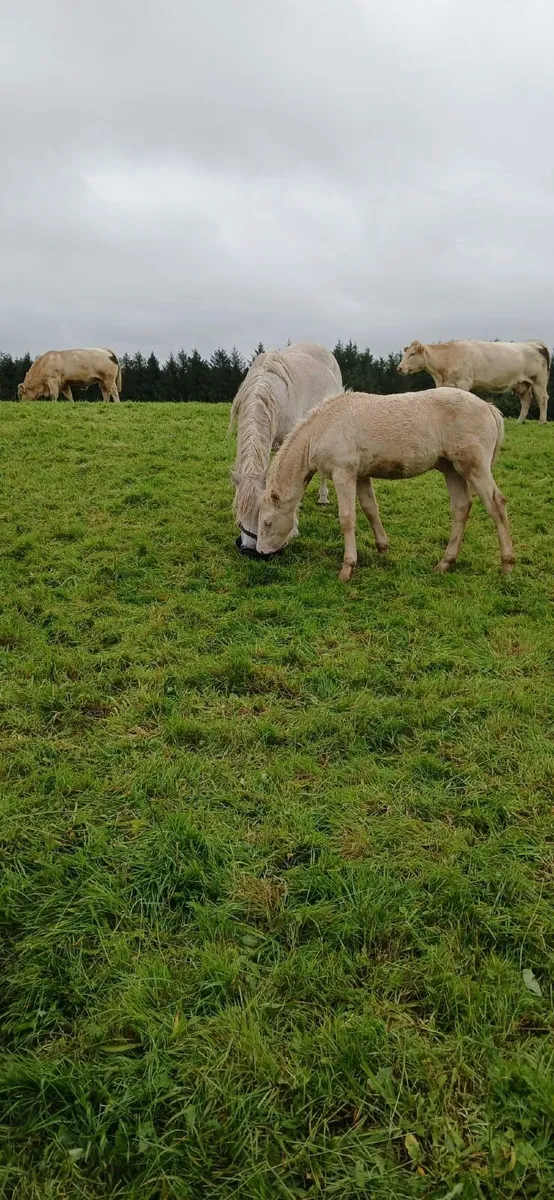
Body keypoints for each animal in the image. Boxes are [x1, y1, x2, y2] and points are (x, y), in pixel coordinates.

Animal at [256, 387, 514, 580]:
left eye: (267, 522)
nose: (261, 553)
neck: (321, 428)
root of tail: (489, 407)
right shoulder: (361, 475)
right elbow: (371, 510)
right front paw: (382, 548)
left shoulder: (343, 474)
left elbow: (347, 518)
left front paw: (348, 567)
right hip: (452, 468)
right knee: (461, 507)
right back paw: (445, 563)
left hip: (474, 468)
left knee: (496, 505)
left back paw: (507, 564)